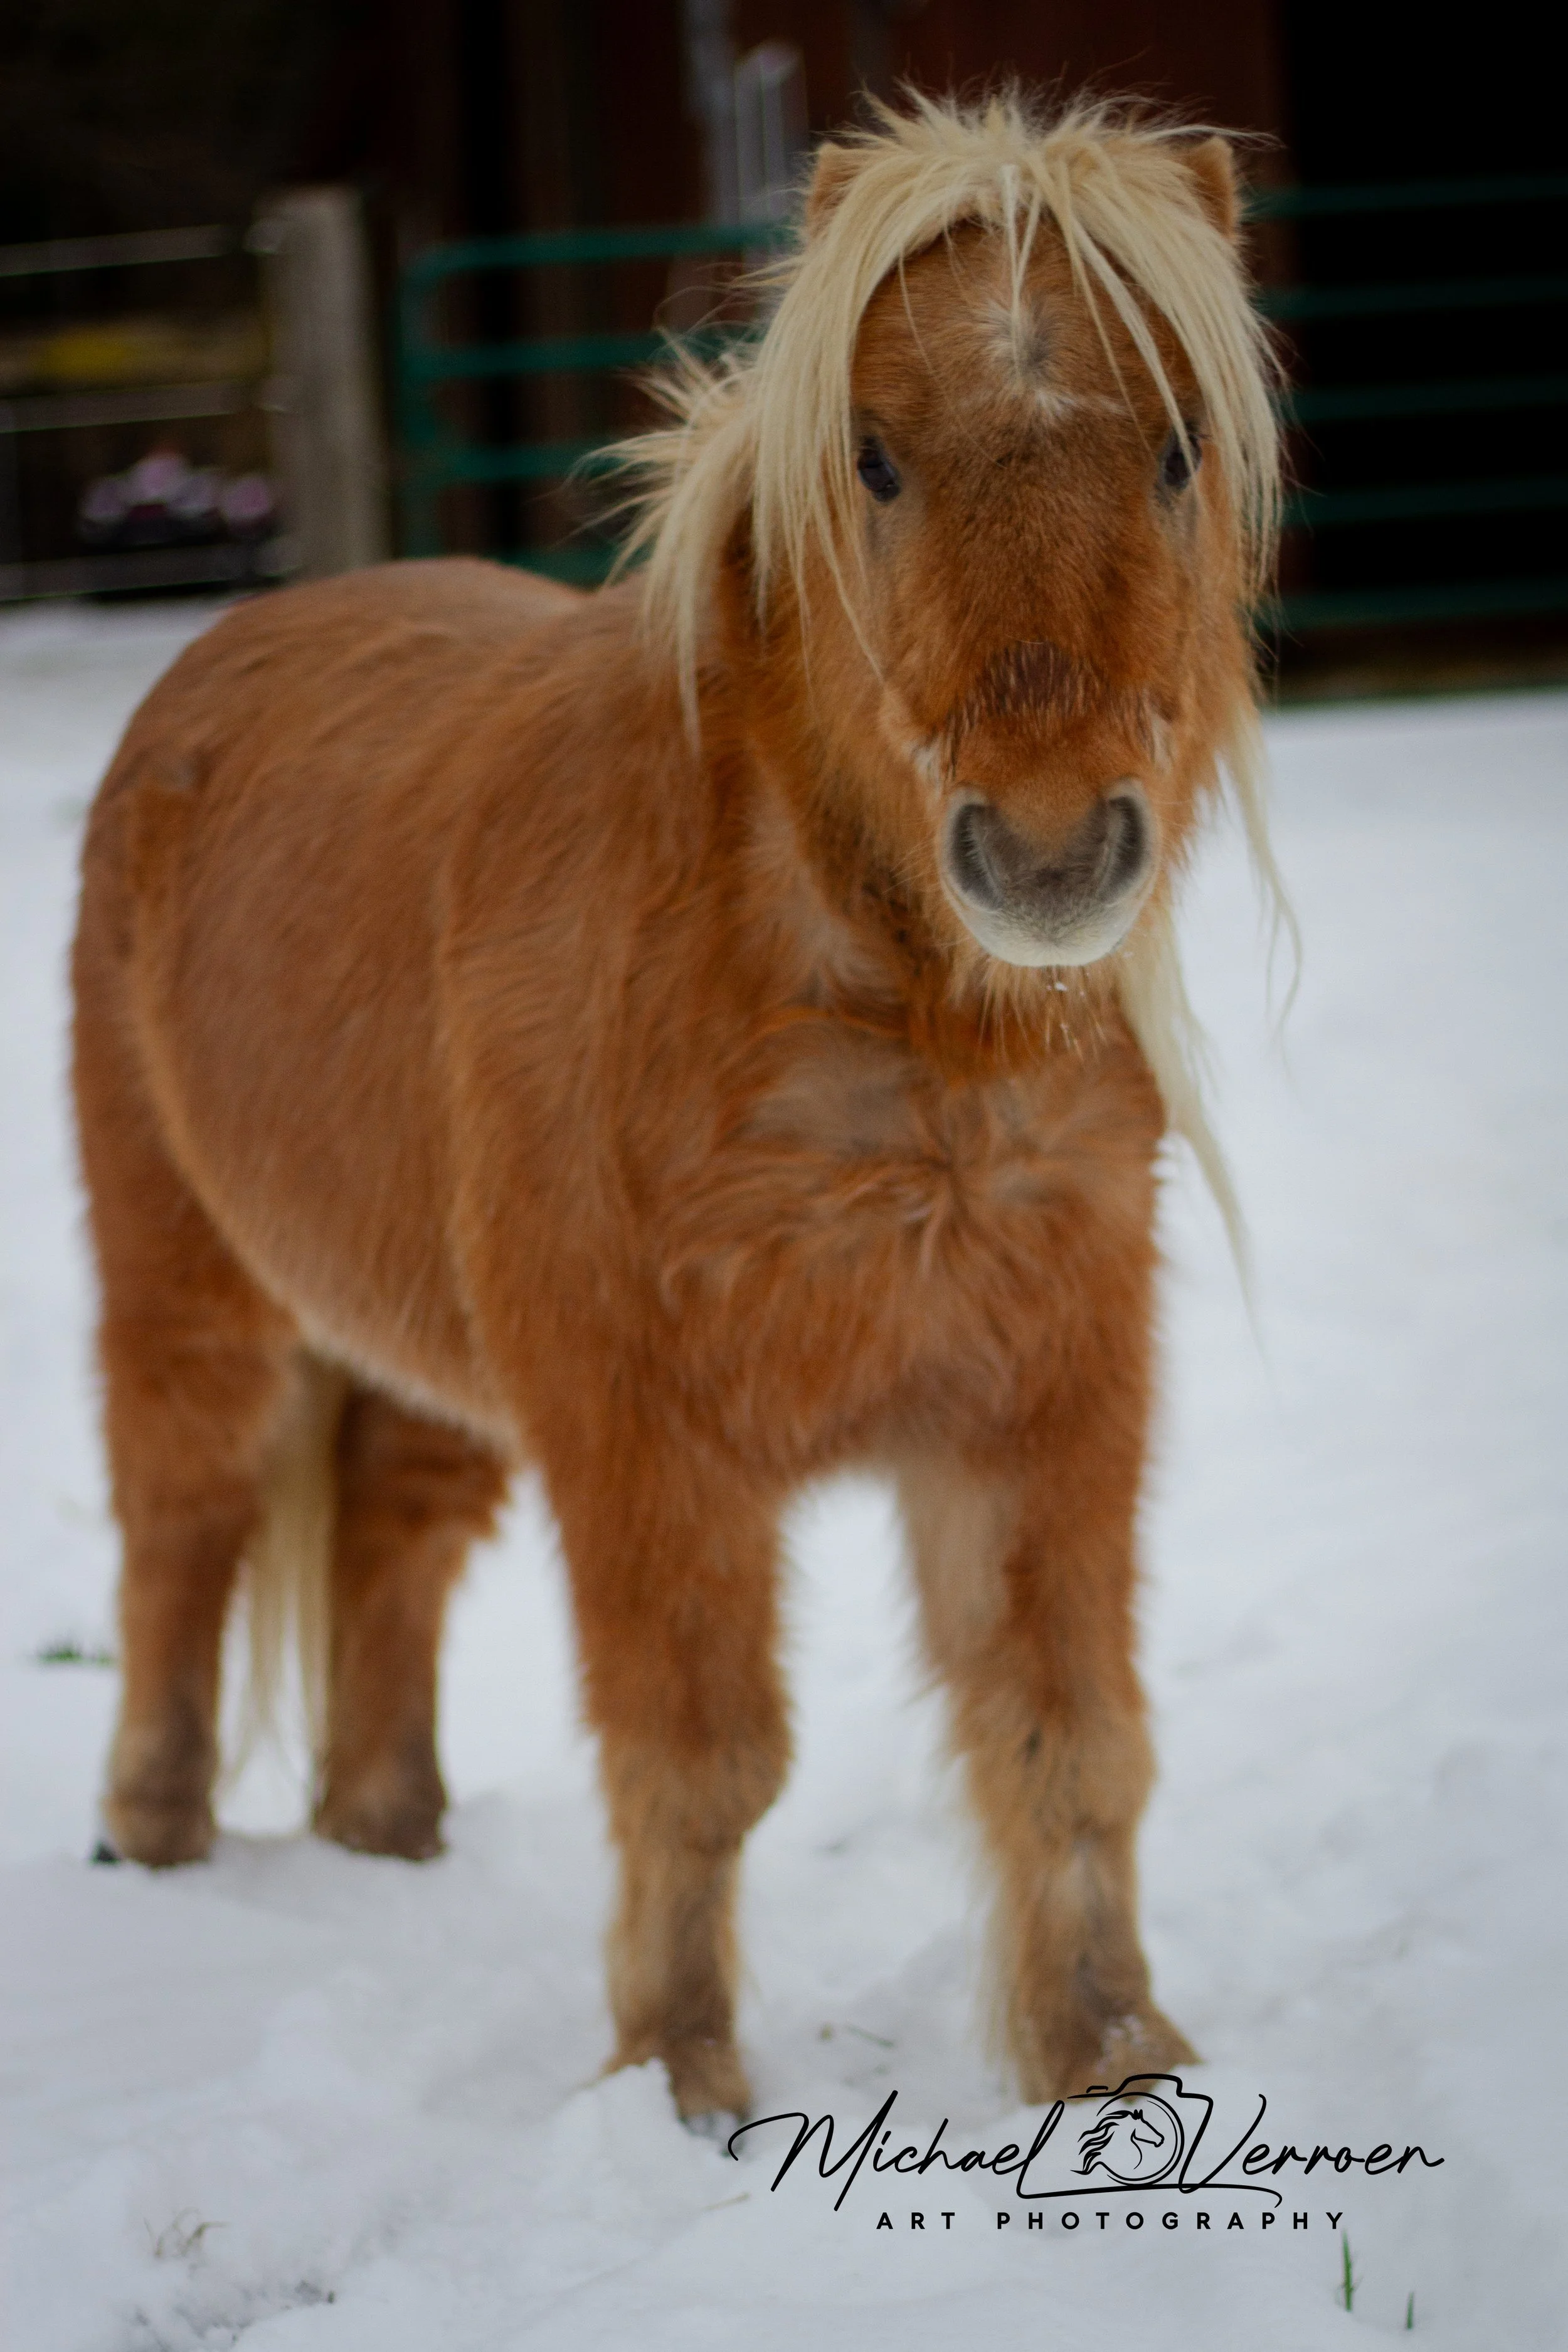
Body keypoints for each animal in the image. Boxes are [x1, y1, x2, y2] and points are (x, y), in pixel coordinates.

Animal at [71, 91, 1284, 2124]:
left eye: (1181, 446)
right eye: (870, 457)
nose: (1047, 854)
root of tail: (216, 658)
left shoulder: (1045, 1394)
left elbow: (1066, 1738)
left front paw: (1113, 2062)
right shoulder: (647, 1431)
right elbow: (703, 1762)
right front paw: (681, 2085)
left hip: (421, 1347)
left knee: (389, 1541)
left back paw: (390, 1835)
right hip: (194, 1288)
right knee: (185, 1523)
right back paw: (152, 1850)